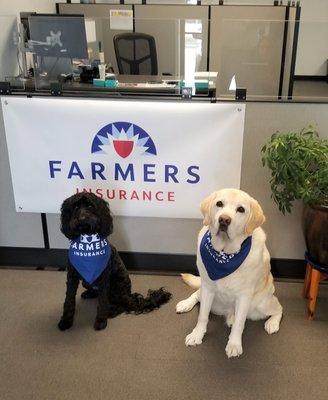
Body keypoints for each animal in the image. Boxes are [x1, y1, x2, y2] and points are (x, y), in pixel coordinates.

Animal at [58, 191, 172, 332]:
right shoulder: (72, 277)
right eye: (75, 207)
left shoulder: (104, 279)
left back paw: (110, 312)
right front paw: (66, 321)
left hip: (116, 287)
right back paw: (89, 293)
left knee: (121, 305)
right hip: (88, 283)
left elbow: (102, 302)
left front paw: (101, 321)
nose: (83, 218)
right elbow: (68, 300)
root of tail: (128, 295)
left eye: (90, 206)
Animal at [177, 189, 282, 358]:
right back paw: (185, 304)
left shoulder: (244, 296)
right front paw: (197, 335)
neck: (224, 254)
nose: (224, 220)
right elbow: (202, 316)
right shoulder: (208, 287)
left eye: (241, 209)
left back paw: (272, 323)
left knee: (279, 309)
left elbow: (239, 324)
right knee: (196, 294)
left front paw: (234, 344)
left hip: (261, 305)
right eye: (219, 203)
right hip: (211, 298)